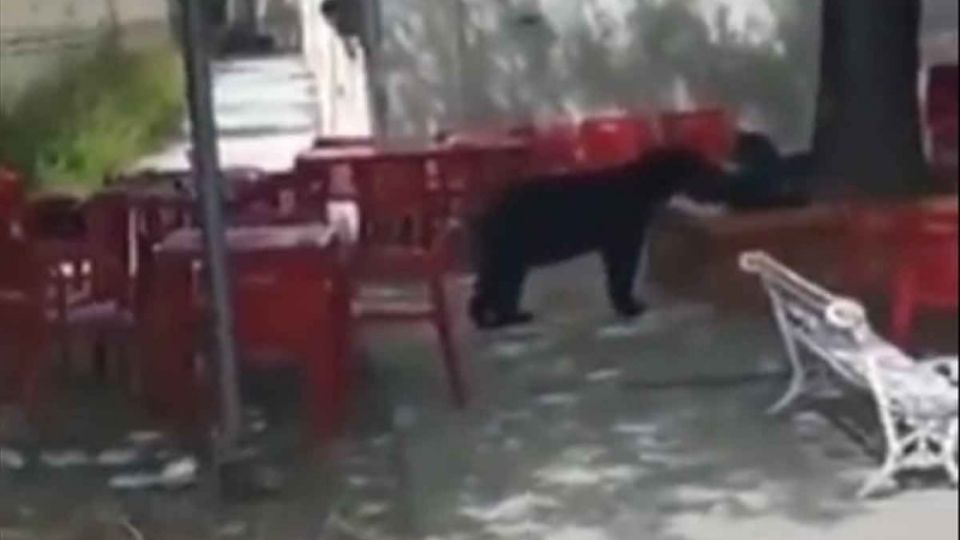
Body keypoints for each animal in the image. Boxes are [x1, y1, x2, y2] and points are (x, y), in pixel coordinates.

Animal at [468, 148, 724, 330]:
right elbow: (622, 274)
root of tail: (489, 209)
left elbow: (616, 274)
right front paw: (631, 307)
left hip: (509, 255)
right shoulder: (624, 240)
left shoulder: (614, 244)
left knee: (494, 285)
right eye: (701, 166)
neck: (646, 185)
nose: (719, 175)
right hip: (510, 252)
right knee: (498, 285)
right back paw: (502, 319)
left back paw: (498, 317)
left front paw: (624, 305)